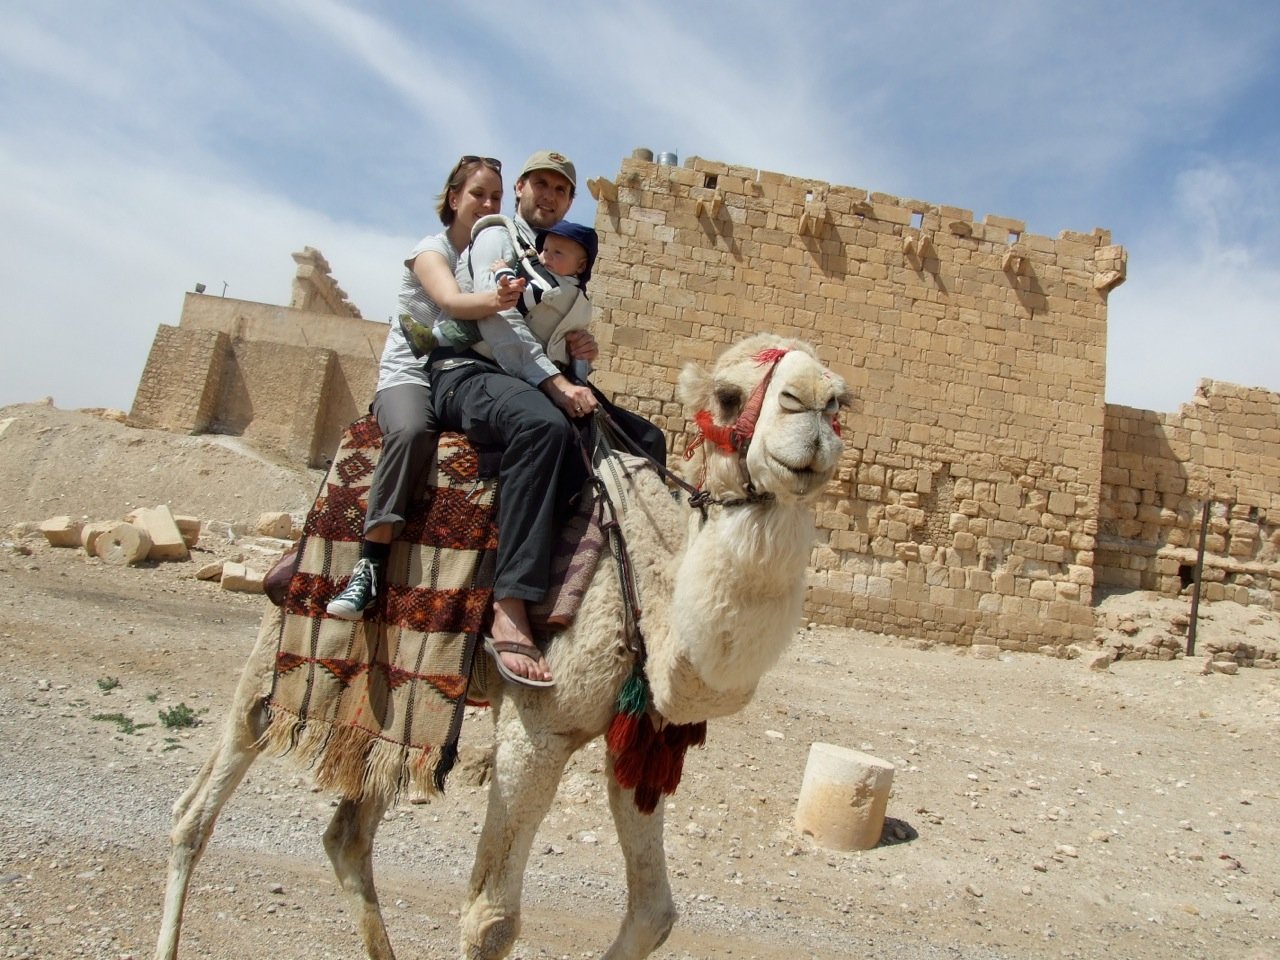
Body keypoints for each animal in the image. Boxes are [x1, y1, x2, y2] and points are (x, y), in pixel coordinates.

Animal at [154, 332, 849, 960]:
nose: (813, 405)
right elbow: (491, 922)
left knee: (349, 829)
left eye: (842, 400)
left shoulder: (641, 734)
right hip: (285, 634)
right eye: (730, 397)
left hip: (399, 686)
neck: (651, 575)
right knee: (196, 810)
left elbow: (654, 915)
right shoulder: (537, 728)